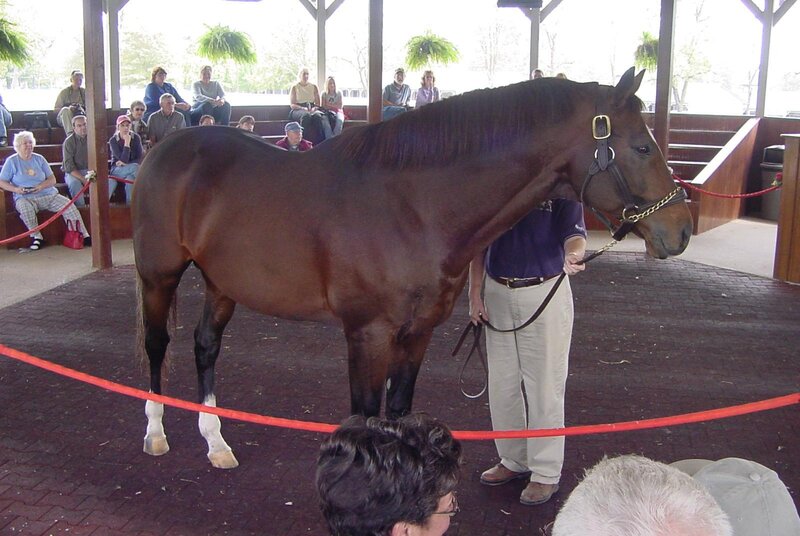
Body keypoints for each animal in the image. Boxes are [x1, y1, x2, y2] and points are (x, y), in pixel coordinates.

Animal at [132, 67, 692, 469]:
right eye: (642, 146)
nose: (682, 228)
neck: (412, 206)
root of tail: (165, 148)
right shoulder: (367, 333)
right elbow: (363, 417)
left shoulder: (416, 333)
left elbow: (397, 413)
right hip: (158, 277)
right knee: (157, 345)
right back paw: (155, 433)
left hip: (220, 282)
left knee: (205, 346)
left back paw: (215, 442)